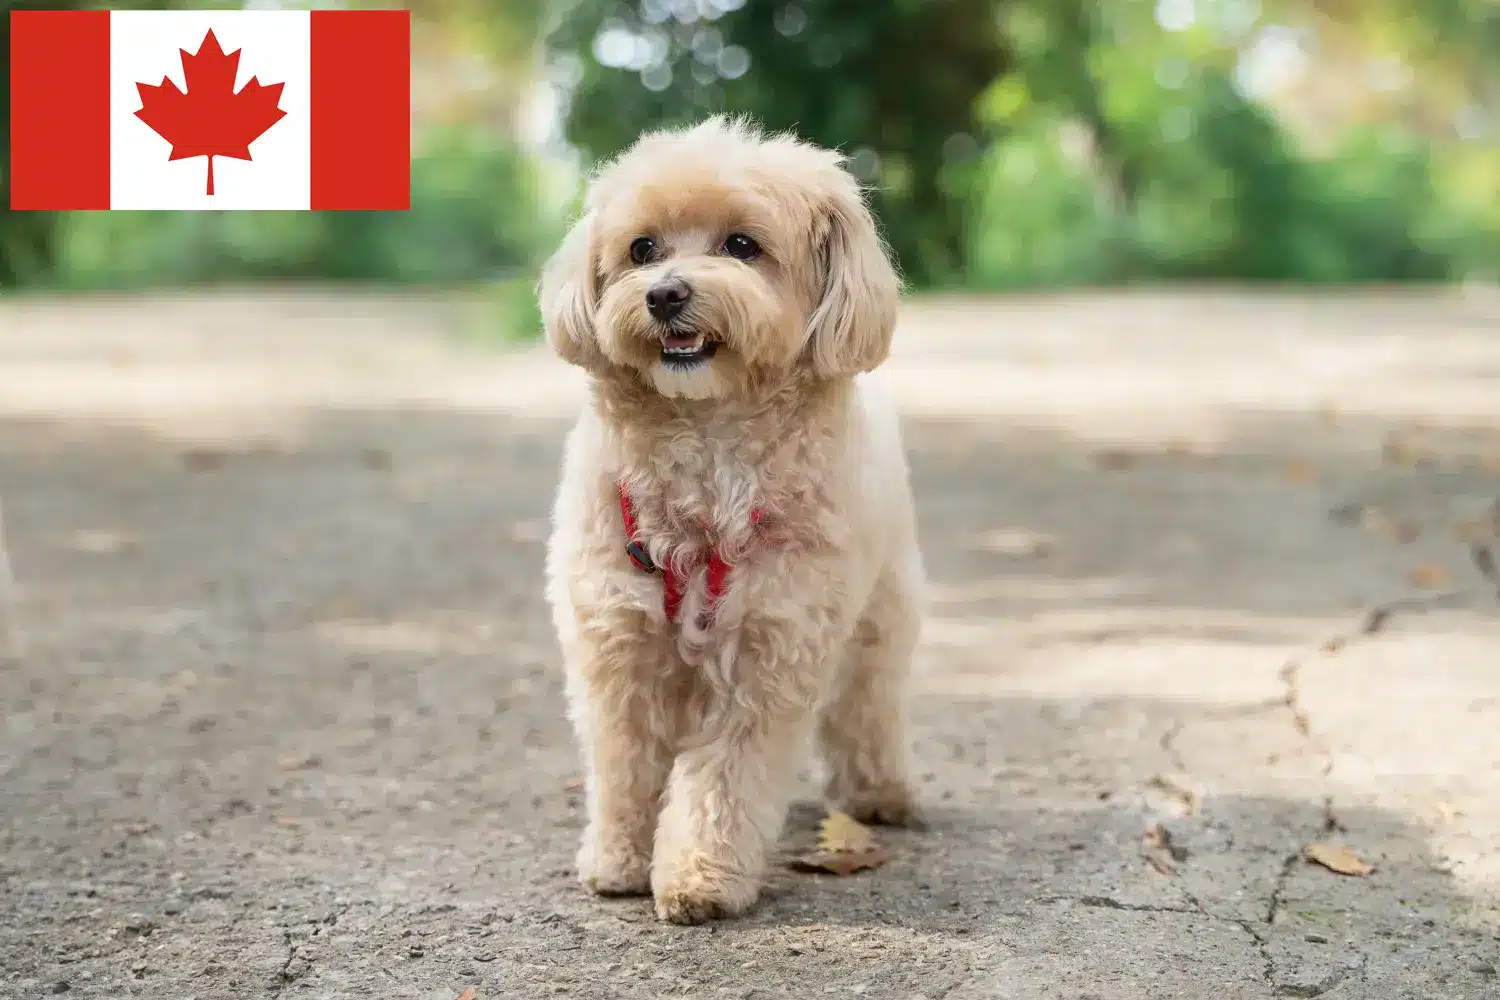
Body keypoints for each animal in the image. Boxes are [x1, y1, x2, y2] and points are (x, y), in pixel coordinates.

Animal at [534, 115, 918, 923]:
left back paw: (881, 792)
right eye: (642, 249)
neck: (708, 443)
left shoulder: (768, 652)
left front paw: (699, 877)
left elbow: (723, 780)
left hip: (883, 610)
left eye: (742, 245)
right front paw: (619, 859)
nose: (664, 295)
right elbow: (625, 764)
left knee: (869, 702)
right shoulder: (617, 644)